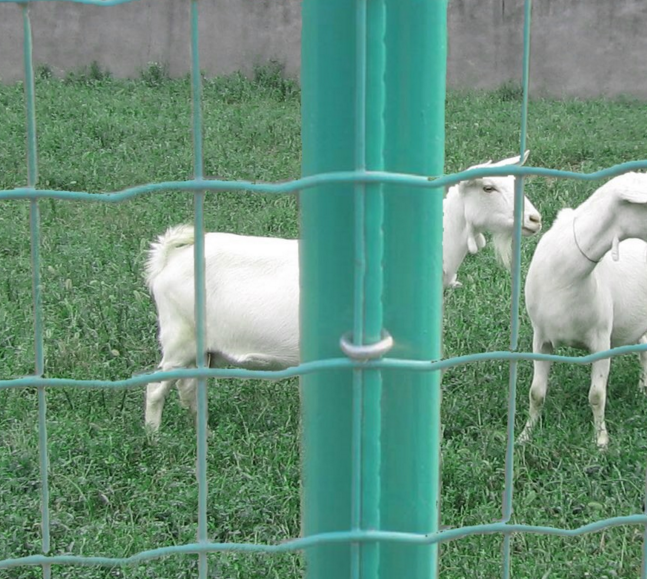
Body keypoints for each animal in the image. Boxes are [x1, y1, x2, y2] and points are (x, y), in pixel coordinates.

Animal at [146, 153, 540, 430]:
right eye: (489, 188)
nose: (534, 219)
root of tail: (167, 259)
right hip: (179, 337)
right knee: (155, 388)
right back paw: (156, 439)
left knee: (187, 389)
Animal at [520, 172, 647, 448]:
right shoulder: (540, 338)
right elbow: (536, 393)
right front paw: (525, 435)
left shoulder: (601, 340)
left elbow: (597, 395)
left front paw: (601, 441)